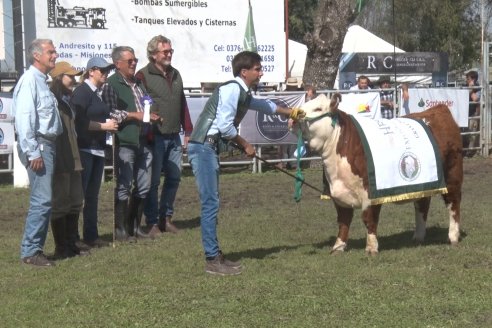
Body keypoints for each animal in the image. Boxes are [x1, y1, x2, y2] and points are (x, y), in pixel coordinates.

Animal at [294, 93, 464, 255]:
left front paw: (371, 248)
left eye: (318, 109)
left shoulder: (371, 193)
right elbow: (343, 221)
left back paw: (453, 237)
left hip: (452, 176)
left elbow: (369, 219)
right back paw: (418, 237)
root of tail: (439, 109)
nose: (295, 114)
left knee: (453, 204)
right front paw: (338, 247)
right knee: (422, 205)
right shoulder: (338, 195)